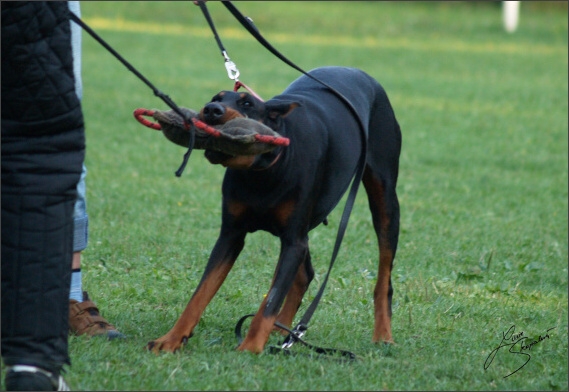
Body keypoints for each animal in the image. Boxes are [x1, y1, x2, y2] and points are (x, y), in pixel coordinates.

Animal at [149, 66, 402, 354]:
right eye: (215, 98)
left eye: (247, 104)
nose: (212, 110)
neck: (263, 173)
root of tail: (358, 71)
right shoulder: (231, 235)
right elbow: (201, 293)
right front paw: (171, 339)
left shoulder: (292, 240)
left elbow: (269, 301)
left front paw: (249, 348)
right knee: (304, 274)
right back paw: (284, 332)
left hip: (384, 202)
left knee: (384, 280)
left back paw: (383, 335)